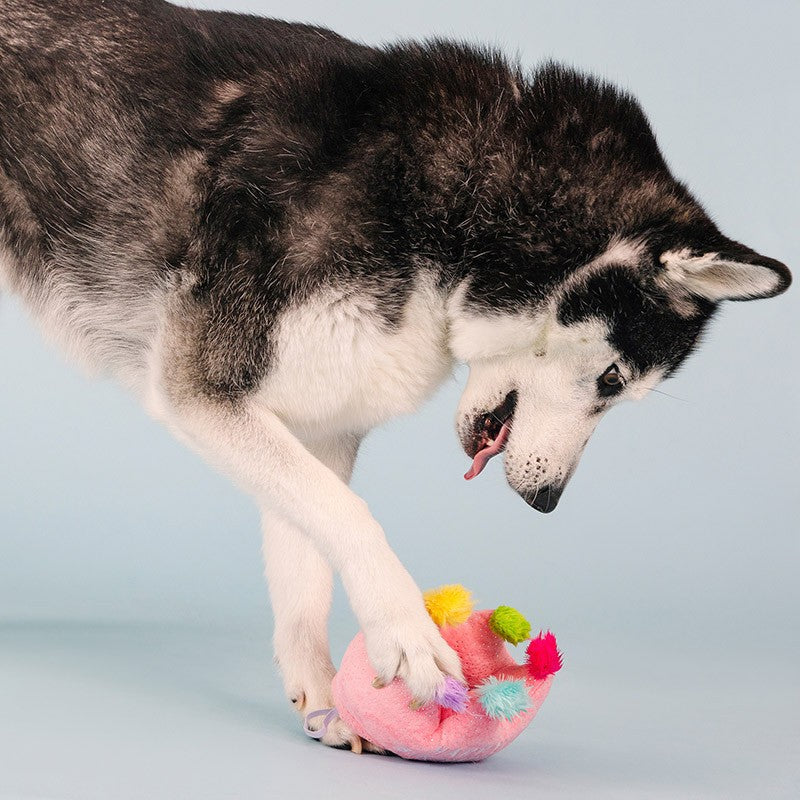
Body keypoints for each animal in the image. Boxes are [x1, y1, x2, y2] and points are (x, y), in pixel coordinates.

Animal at [0, 0, 788, 752]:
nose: (547, 504)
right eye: (615, 380)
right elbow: (350, 518)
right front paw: (406, 635)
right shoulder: (203, 391)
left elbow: (307, 565)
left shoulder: (316, 423)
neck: (456, 207)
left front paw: (324, 699)